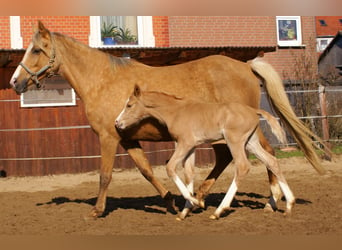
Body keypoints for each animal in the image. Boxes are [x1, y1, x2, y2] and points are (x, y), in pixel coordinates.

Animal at [9, 20, 324, 218]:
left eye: (36, 50)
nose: (15, 82)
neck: (104, 81)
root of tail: (246, 66)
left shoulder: (109, 138)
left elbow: (105, 175)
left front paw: (97, 210)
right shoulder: (127, 138)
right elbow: (147, 171)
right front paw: (172, 202)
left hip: (240, 132)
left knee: (264, 154)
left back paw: (270, 202)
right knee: (232, 159)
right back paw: (200, 198)